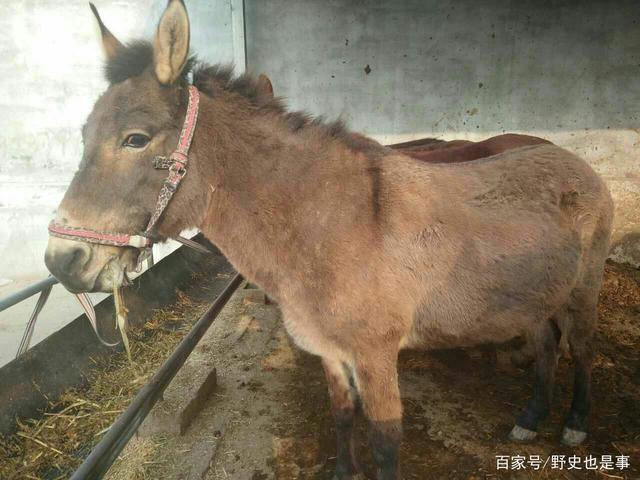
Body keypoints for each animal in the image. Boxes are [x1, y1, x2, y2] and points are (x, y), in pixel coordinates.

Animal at [44, 2, 614, 478]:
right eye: (83, 136)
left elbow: (386, 443)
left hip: (583, 290)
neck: (331, 226)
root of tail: (572, 160)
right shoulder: (329, 352)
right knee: (546, 347)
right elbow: (341, 415)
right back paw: (530, 418)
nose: (62, 261)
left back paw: (575, 423)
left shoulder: (376, 357)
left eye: (135, 139)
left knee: (582, 348)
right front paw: (343, 470)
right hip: (536, 296)